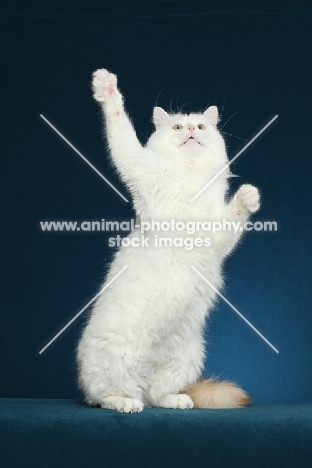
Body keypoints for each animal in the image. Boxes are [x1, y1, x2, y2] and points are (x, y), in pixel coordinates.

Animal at [77, 68, 260, 414]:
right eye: (177, 127)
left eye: (200, 127)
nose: (189, 130)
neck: (190, 176)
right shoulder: (138, 166)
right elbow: (119, 123)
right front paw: (105, 86)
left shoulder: (218, 236)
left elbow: (236, 213)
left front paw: (249, 196)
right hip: (116, 356)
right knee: (106, 396)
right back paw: (126, 404)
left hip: (185, 357)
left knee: (155, 395)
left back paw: (176, 400)